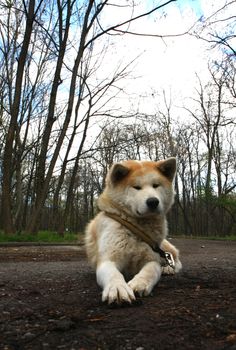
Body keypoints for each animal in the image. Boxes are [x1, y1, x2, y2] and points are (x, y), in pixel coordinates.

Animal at [85, 157, 183, 304]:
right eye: (136, 187)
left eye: (156, 185)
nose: (153, 201)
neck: (134, 228)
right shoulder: (107, 260)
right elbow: (114, 274)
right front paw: (118, 288)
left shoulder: (152, 259)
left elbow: (151, 270)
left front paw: (140, 283)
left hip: (163, 246)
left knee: (174, 257)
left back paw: (167, 268)